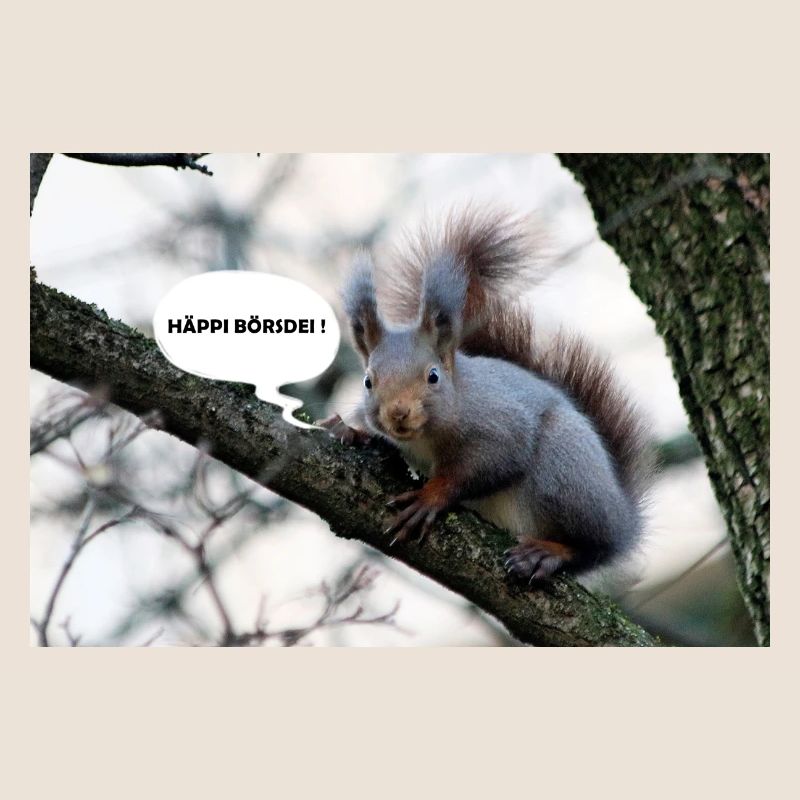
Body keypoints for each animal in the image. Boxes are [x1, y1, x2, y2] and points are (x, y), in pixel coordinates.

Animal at [319, 206, 653, 583]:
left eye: (433, 376)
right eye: (367, 381)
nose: (398, 413)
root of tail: (623, 517)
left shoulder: (498, 424)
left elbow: (489, 463)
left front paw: (431, 496)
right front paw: (348, 430)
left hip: (565, 471)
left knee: (591, 547)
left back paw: (547, 553)